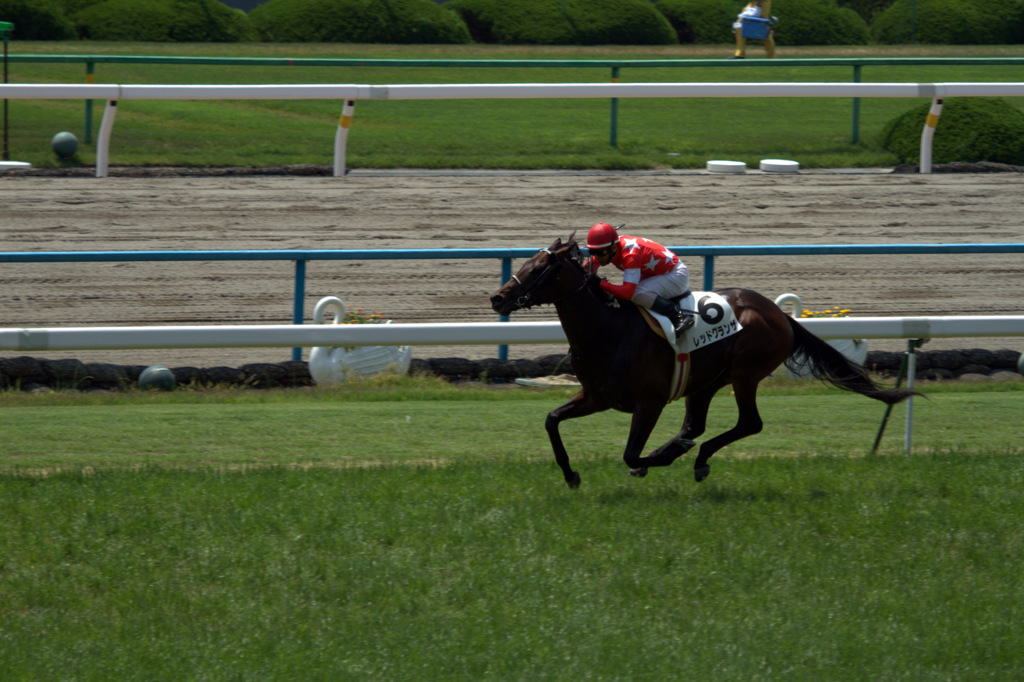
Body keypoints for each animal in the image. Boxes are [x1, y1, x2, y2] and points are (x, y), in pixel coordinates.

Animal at [489, 236, 921, 485]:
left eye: (539, 268)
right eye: (525, 261)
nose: (497, 297)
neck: (606, 330)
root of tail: (779, 315)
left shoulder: (649, 402)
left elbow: (630, 452)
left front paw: (653, 459)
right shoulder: (597, 396)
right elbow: (552, 421)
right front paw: (571, 474)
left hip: (746, 372)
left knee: (748, 423)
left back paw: (690, 456)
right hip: (705, 381)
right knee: (696, 424)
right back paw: (683, 450)